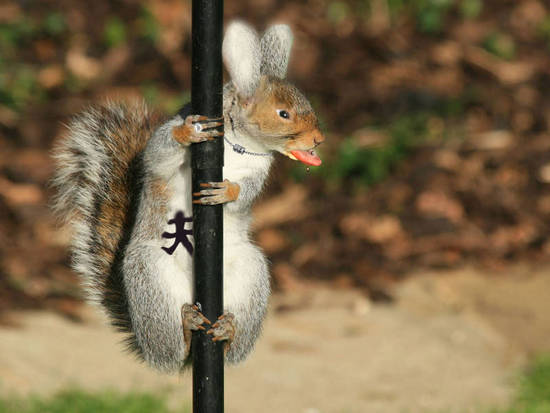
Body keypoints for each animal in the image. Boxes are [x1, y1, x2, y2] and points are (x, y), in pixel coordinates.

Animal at [50, 20, 326, 372]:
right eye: (284, 114)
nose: (318, 140)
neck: (240, 143)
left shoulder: (259, 170)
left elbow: (247, 194)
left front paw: (228, 190)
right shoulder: (163, 149)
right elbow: (158, 154)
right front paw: (188, 133)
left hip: (251, 274)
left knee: (231, 350)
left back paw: (228, 330)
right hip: (151, 276)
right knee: (172, 352)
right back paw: (183, 327)